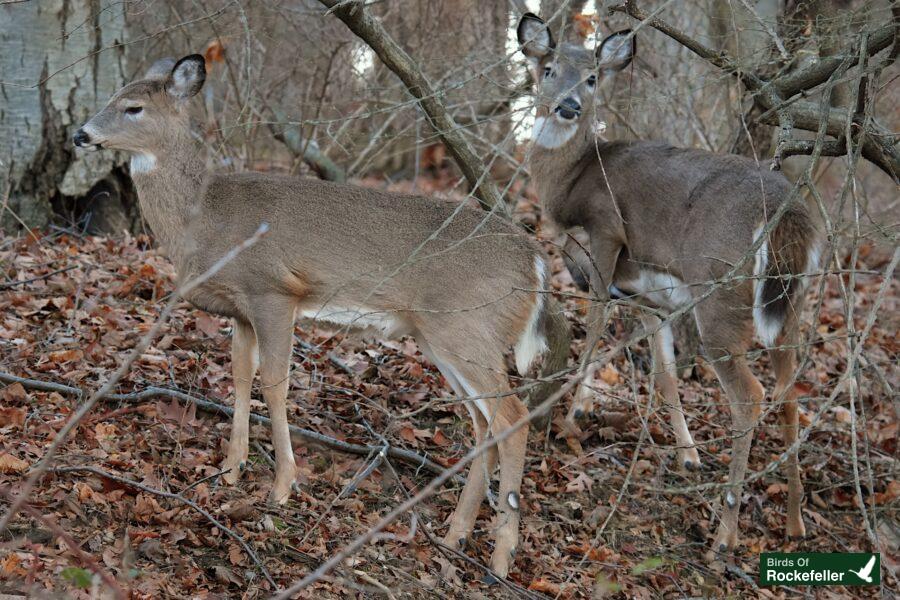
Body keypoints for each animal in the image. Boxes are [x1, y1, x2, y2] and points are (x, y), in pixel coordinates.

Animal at [74, 57, 568, 580]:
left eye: (133, 107)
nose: (81, 135)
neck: (202, 217)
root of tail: (536, 262)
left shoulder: (274, 290)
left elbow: (275, 383)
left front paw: (282, 486)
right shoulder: (241, 309)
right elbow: (240, 376)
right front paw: (231, 468)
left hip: (466, 330)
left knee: (513, 417)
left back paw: (501, 556)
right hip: (442, 337)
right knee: (483, 425)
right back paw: (456, 535)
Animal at [516, 12, 820, 556]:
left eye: (591, 78)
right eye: (548, 69)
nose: (569, 106)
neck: (569, 187)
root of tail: (788, 217)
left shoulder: (607, 234)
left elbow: (595, 329)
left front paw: (572, 418)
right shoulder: (651, 297)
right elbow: (666, 373)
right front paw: (688, 454)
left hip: (720, 293)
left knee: (751, 396)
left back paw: (725, 535)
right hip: (791, 306)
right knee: (789, 392)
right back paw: (794, 522)